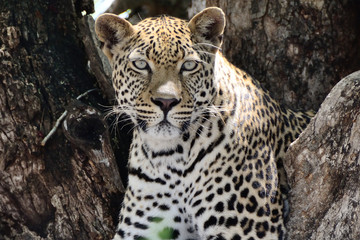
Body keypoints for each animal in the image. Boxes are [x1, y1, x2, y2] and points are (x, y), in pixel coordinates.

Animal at [95, 7, 312, 240]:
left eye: (189, 65)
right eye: (140, 64)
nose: (166, 101)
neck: (168, 157)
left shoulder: (248, 229)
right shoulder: (139, 229)